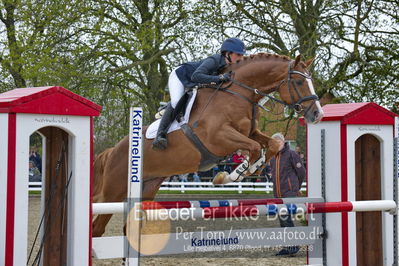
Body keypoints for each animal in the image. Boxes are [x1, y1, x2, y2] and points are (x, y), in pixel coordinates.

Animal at [93, 53, 324, 236]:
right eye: (299, 82)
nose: (317, 114)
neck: (238, 93)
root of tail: (112, 151)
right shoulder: (218, 137)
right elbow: (253, 148)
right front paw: (234, 174)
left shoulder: (250, 133)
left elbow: (271, 145)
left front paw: (249, 169)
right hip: (114, 192)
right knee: (97, 227)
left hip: (147, 188)